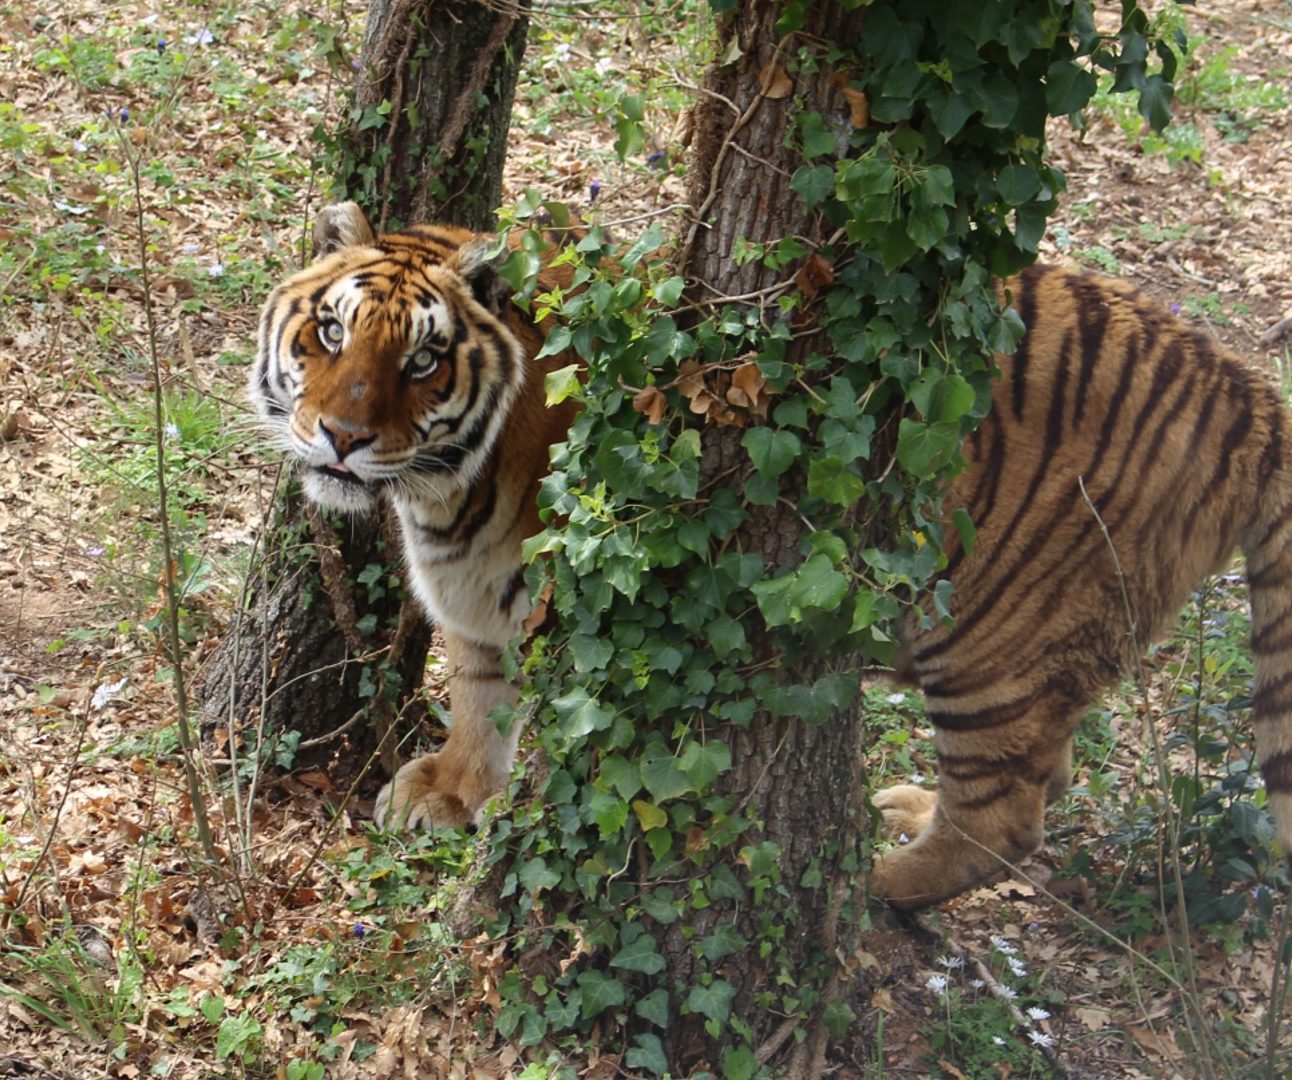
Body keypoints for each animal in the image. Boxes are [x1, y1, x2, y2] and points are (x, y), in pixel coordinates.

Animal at [249, 202, 578, 826]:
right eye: (333, 332)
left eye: (423, 360)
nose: (343, 436)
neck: (451, 497)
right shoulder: (473, 596)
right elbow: (479, 693)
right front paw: (453, 791)